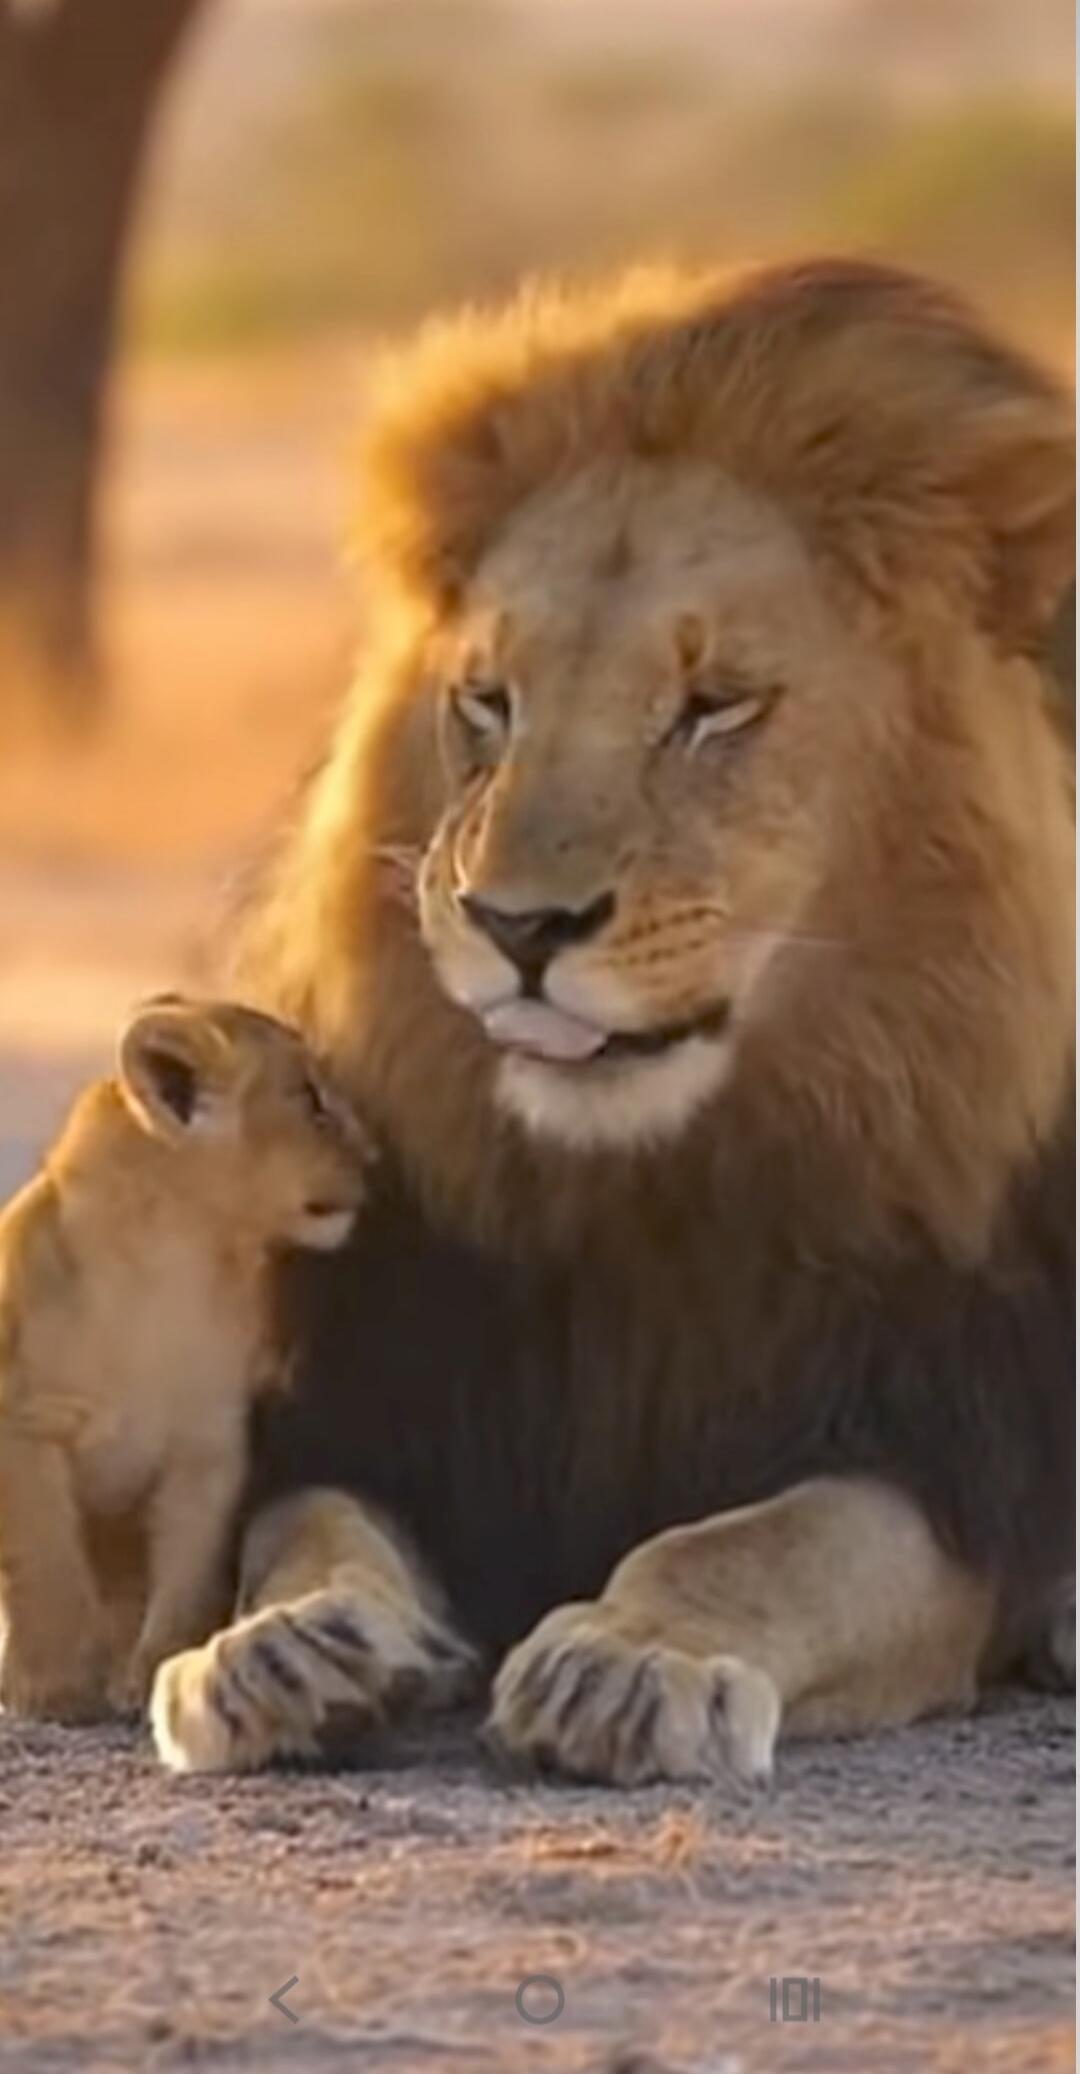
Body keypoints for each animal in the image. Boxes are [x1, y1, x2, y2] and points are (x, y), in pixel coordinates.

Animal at [0, 997, 370, 1722]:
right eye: (311, 1098)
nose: (375, 1160)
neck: (179, 1256)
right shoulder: (28, 1423)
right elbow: (47, 1563)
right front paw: (53, 1687)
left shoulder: (208, 1445)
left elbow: (187, 1572)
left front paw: (155, 1672)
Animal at [147, 258, 1073, 1784]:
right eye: (487, 702)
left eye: (714, 707)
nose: (518, 926)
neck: (650, 1199)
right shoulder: (390, 1392)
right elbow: (309, 1525)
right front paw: (284, 1647)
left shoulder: (954, 1441)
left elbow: (771, 1542)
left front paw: (629, 1660)